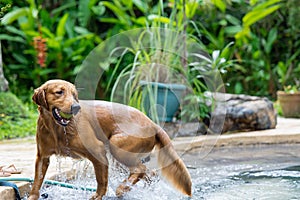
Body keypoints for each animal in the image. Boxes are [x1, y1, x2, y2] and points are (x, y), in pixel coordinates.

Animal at [28, 79, 192, 198]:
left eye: (74, 95)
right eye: (59, 92)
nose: (76, 107)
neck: (58, 129)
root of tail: (154, 124)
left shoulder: (98, 151)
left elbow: (101, 180)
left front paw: (98, 196)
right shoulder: (42, 156)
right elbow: (37, 181)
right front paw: (32, 197)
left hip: (117, 146)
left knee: (141, 169)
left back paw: (122, 188)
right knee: (148, 172)